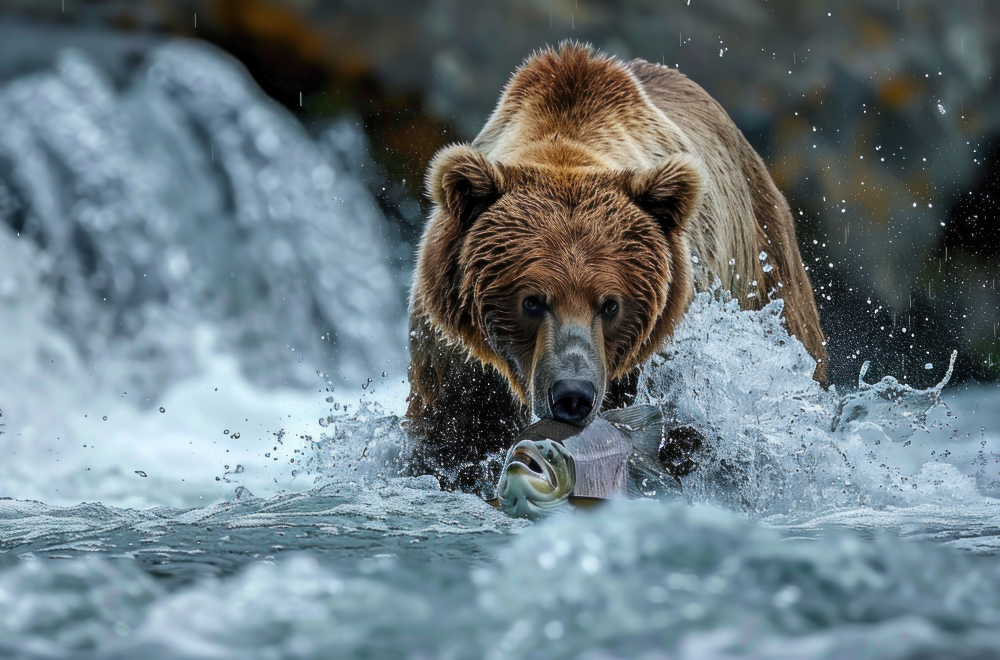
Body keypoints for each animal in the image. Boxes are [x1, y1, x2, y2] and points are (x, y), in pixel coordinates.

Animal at [402, 41, 824, 492]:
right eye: (532, 301)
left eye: (610, 304)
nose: (572, 393)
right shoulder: (457, 356)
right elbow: (448, 437)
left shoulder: (669, 350)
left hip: (767, 273)